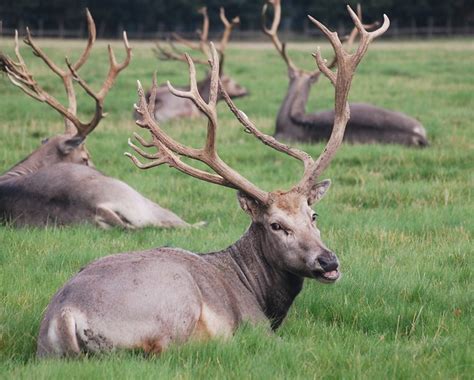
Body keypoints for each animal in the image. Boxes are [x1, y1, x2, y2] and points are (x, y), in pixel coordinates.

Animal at [35, 5, 386, 358]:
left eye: (314, 215)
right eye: (275, 225)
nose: (328, 261)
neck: (260, 295)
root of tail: (64, 314)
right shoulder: (255, 324)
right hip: (173, 303)